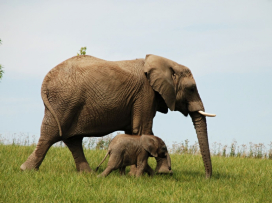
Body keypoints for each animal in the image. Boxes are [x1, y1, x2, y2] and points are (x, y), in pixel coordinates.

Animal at [20, 54, 215, 178]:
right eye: (191, 88)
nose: (207, 178)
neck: (165, 62)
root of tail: (46, 78)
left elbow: (134, 131)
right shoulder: (145, 93)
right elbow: (143, 128)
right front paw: (141, 175)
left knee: (72, 140)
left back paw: (88, 174)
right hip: (64, 102)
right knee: (51, 135)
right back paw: (26, 171)